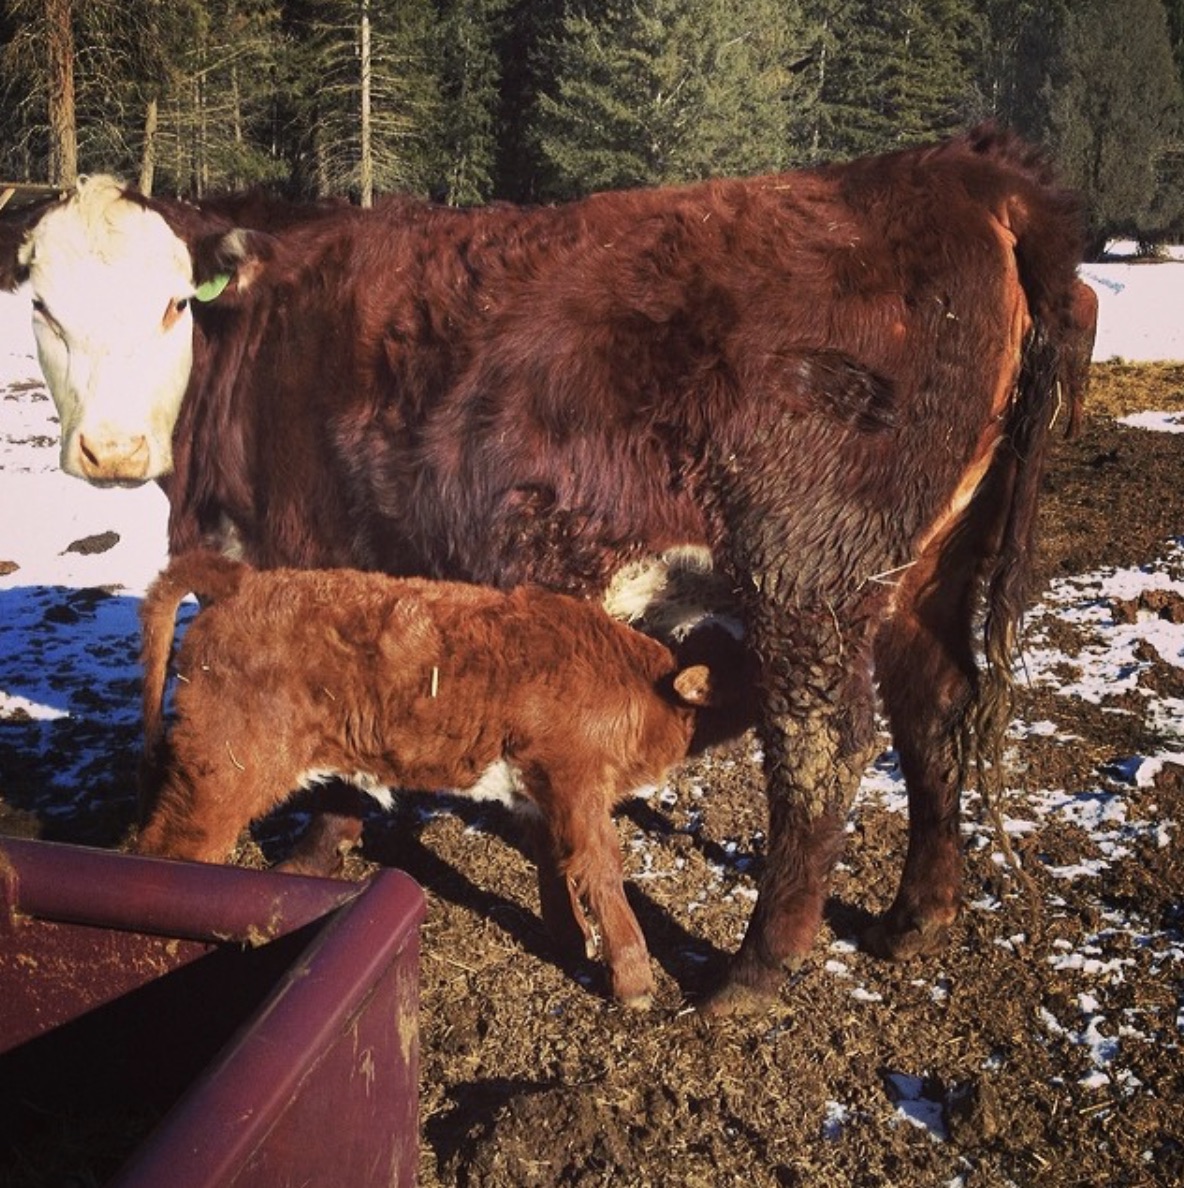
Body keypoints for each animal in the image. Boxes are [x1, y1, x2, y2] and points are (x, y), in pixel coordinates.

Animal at [135, 550, 741, 1008]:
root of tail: (242, 580)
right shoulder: (577, 780)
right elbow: (601, 869)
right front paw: (634, 978)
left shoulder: (539, 789)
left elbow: (555, 860)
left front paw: (572, 939)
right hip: (224, 768)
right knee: (173, 853)